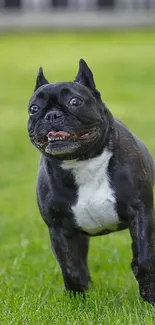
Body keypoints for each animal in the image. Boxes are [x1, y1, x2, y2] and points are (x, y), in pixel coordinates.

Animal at [27, 59, 155, 302]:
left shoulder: (140, 212)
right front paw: (78, 299)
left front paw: (149, 296)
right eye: (34, 109)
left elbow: (144, 258)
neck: (82, 162)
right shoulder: (59, 228)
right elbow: (71, 268)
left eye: (75, 101)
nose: (52, 115)